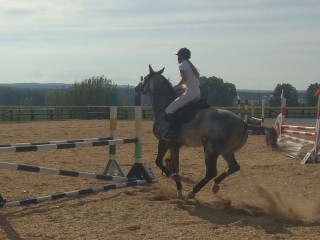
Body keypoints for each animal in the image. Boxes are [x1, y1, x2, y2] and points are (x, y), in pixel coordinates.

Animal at [135, 63, 276, 199]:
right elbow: (174, 166)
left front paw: (174, 179)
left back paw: (192, 192)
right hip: (226, 151)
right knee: (234, 167)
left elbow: (160, 162)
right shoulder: (173, 145)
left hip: (211, 149)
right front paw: (179, 190)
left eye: (146, 78)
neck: (163, 108)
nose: (136, 89)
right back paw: (215, 186)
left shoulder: (165, 142)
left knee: (211, 172)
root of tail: (243, 123)